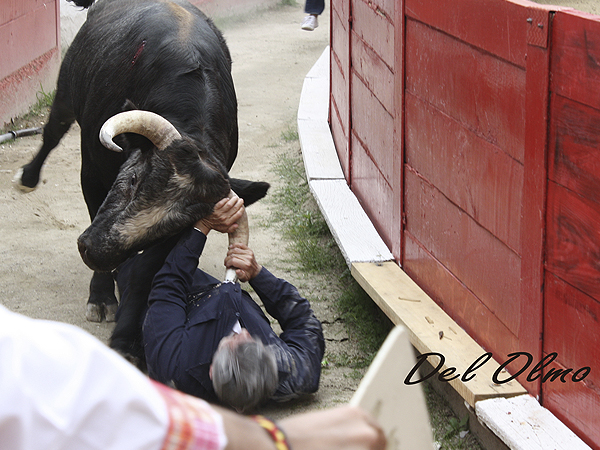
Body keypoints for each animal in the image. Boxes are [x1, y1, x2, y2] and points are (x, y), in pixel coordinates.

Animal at [14, 0, 270, 362]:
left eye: (177, 221)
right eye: (134, 180)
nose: (92, 251)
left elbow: (148, 268)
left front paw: (126, 338)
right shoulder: (91, 171)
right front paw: (101, 298)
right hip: (65, 90)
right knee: (52, 130)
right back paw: (27, 177)